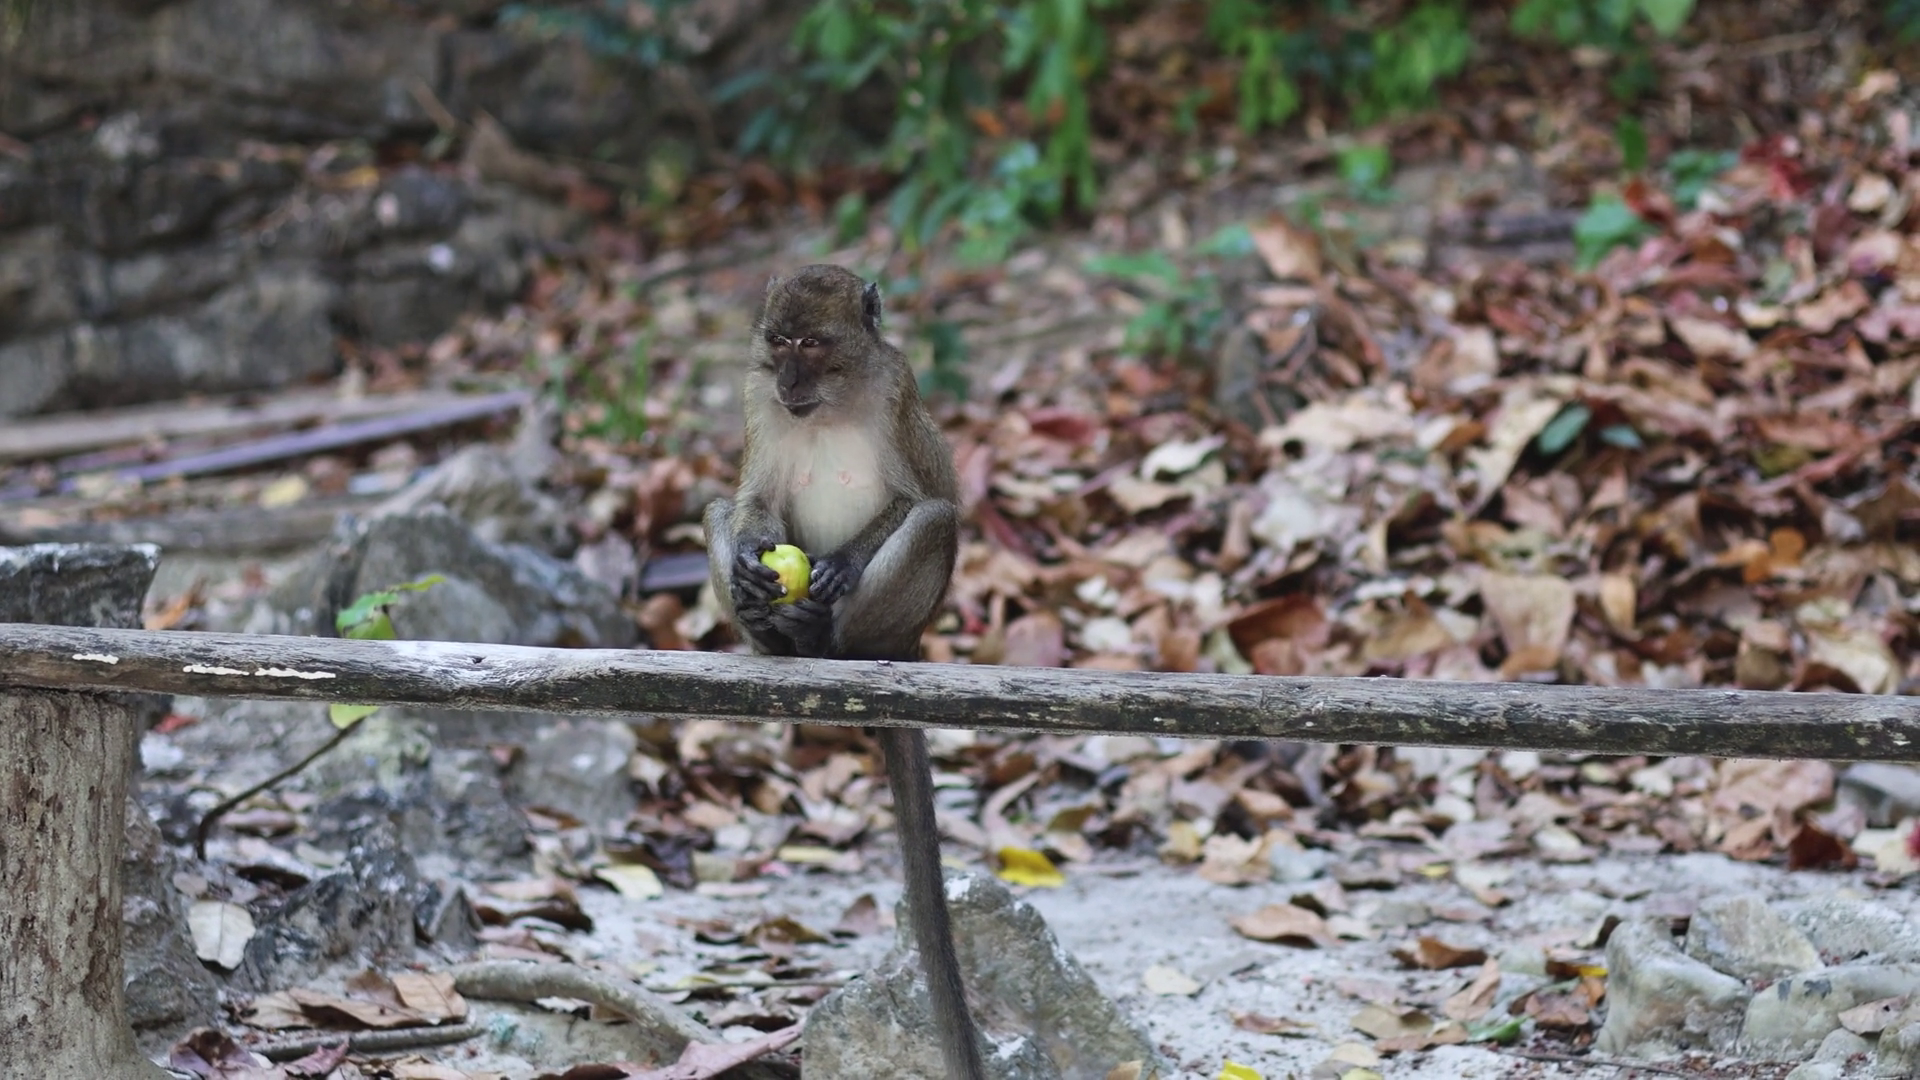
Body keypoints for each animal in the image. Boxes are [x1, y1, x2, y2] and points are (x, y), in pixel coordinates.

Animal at [703, 264, 986, 1080]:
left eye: (815, 344)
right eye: (779, 342)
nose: (790, 379)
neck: (831, 400)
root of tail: (910, 643)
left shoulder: (898, 386)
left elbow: (924, 500)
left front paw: (841, 565)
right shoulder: (753, 393)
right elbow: (751, 501)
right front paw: (753, 565)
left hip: (897, 622)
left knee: (933, 523)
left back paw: (823, 635)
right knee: (715, 510)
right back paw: (773, 634)